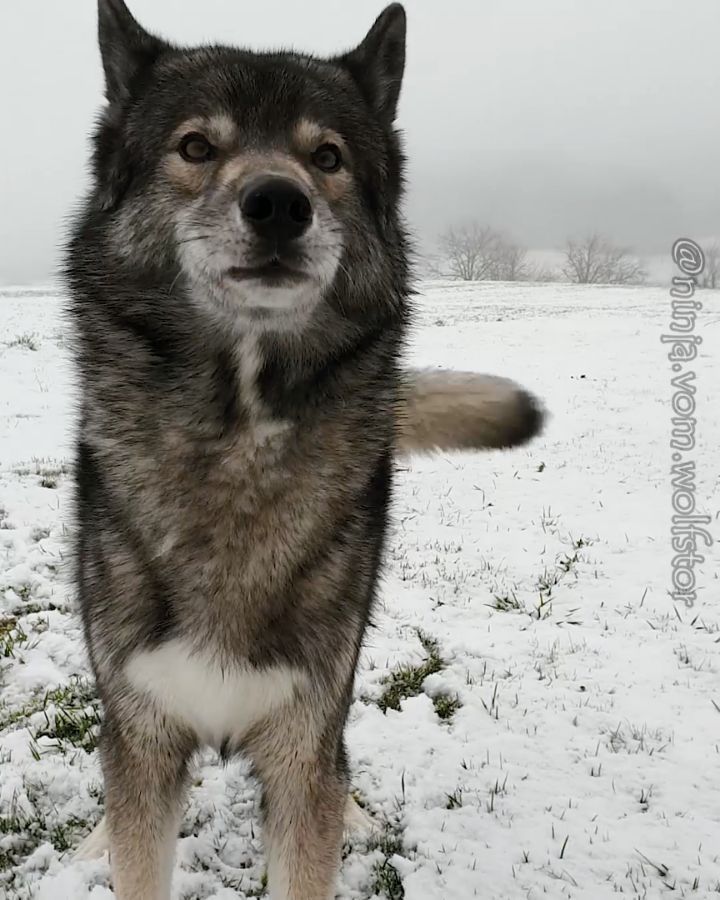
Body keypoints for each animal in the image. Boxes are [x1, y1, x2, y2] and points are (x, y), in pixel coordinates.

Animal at [66, 3, 540, 896]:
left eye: (327, 158)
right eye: (195, 147)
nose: (280, 204)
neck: (241, 433)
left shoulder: (301, 741)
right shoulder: (143, 733)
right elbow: (135, 833)